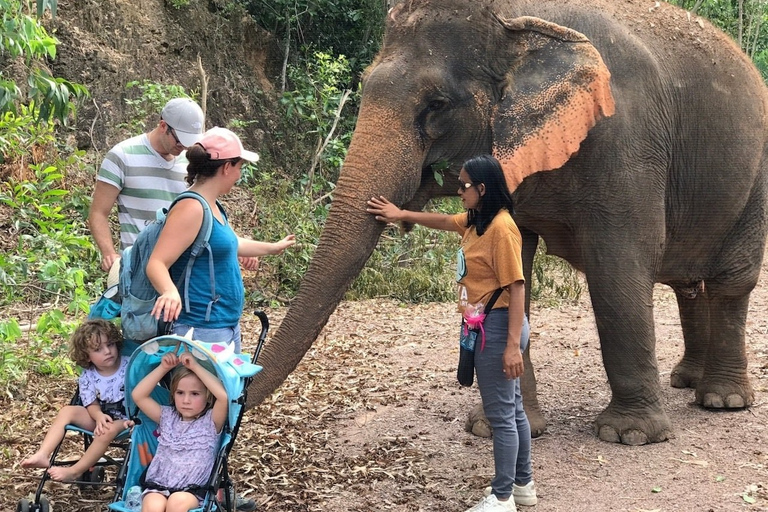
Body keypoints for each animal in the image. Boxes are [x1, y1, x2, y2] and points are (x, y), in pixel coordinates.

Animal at [248, 0, 768, 446]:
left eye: (436, 104)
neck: (517, 19)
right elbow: (514, 267)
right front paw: (495, 427)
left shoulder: (627, 142)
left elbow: (617, 270)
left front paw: (629, 435)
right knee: (687, 284)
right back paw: (686, 381)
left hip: (756, 182)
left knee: (730, 283)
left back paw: (722, 400)